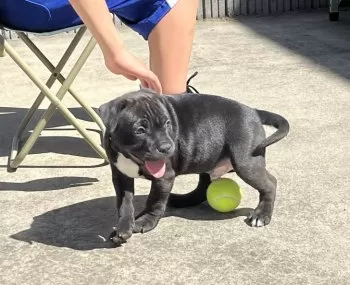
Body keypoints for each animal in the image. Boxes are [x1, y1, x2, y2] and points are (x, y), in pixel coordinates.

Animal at [98, 88, 290, 244]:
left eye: (168, 123)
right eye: (139, 130)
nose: (167, 147)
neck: (127, 155)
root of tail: (253, 112)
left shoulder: (164, 177)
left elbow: (154, 201)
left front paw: (145, 221)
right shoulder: (120, 177)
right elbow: (124, 204)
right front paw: (123, 228)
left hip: (245, 163)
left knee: (270, 183)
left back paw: (262, 215)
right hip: (208, 158)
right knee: (203, 188)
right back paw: (182, 199)